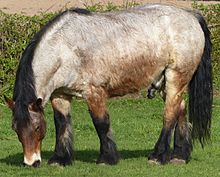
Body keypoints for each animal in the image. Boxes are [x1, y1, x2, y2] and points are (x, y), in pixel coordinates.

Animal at [4, 3, 213, 167]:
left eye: (37, 128)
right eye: (15, 128)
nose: (31, 162)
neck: (66, 49)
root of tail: (191, 16)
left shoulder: (94, 92)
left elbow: (101, 123)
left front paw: (107, 158)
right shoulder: (60, 95)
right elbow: (61, 123)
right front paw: (60, 159)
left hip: (176, 77)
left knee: (169, 114)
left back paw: (157, 155)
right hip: (166, 83)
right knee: (180, 109)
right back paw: (179, 155)